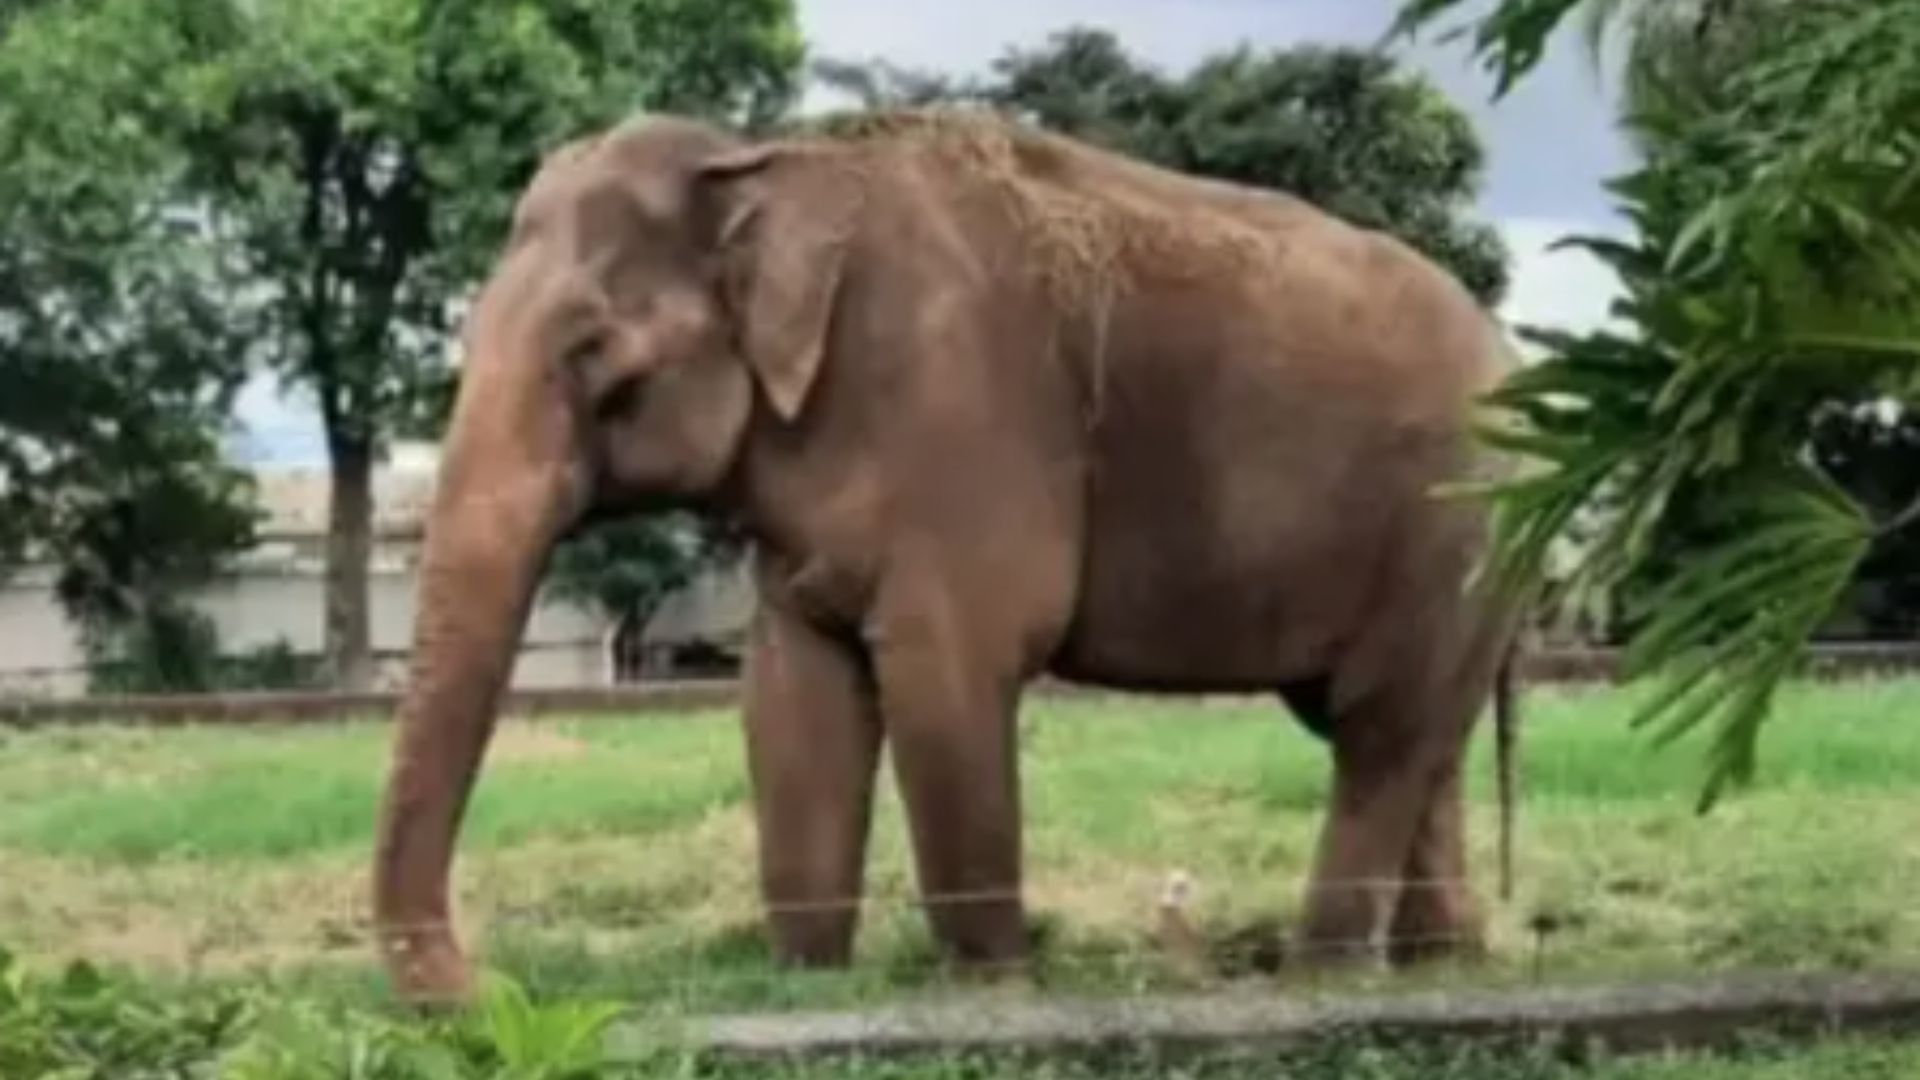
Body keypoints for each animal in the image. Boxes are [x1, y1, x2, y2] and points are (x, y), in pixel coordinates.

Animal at [370, 106, 1524, 1003]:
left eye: (595, 356)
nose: (495, 987)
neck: (769, 160)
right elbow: (792, 698)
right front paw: (806, 981)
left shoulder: (960, 423)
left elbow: (946, 678)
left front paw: (993, 986)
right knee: (1407, 731)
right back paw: (1440, 961)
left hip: (1453, 523)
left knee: (1380, 729)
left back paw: (1323, 975)